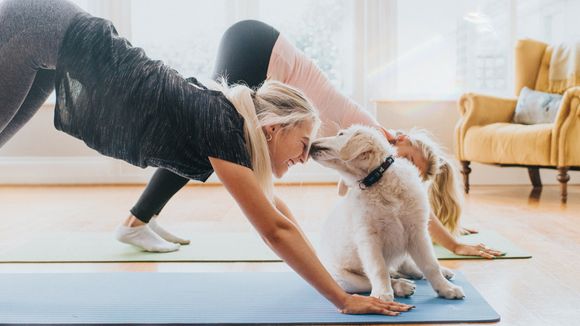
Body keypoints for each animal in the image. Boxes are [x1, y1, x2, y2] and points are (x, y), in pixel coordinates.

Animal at [310, 124, 464, 300]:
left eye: (340, 134)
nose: (311, 145)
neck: (376, 179)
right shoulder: (368, 237)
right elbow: (379, 269)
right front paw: (382, 294)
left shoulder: (417, 231)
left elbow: (431, 264)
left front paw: (446, 288)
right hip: (345, 280)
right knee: (376, 278)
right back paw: (401, 286)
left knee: (408, 265)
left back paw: (436, 273)